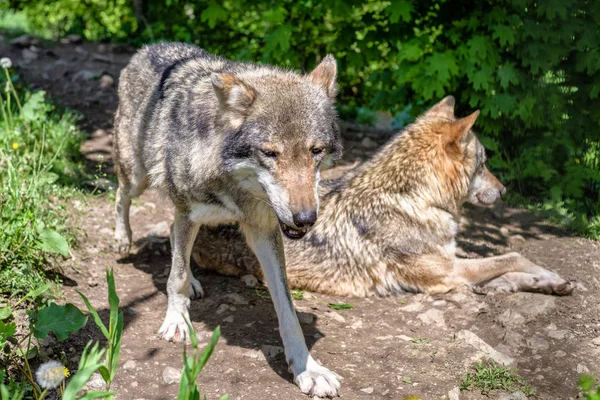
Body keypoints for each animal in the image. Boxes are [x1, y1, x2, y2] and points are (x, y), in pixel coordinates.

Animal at [113, 41, 344, 396]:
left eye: (315, 151)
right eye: (270, 153)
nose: (305, 218)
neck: (235, 185)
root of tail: (150, 47)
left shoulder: (264, 229)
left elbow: (287, 308)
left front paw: (307, 368)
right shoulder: (189, 209)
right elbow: (176, 276)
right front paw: (176, 321)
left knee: (172, 234)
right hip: (138, 176)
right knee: (121, 196)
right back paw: (122, 238)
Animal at [192, 96, 576, 296]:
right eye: (483, 163)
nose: (504, 190)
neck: (414, 198)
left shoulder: (453, 263)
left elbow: (506, 267)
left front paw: (543, 282)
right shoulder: (447, 275)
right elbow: (511, 255)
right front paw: (544, 274)